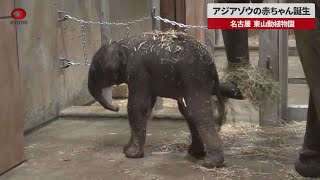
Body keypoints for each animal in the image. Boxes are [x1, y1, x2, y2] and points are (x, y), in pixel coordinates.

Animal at [87, 31, 238, 167]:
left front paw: (131, 154)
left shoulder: (138, 72)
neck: (120, 44)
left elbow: (136, 105)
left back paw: (211, 162)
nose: (117, 108)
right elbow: (147, 106)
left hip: (195, 78)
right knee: (188, 111)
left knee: (198, 111)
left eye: (94, 71)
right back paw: (196, 153)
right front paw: (126, 149)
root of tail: (213, 66)